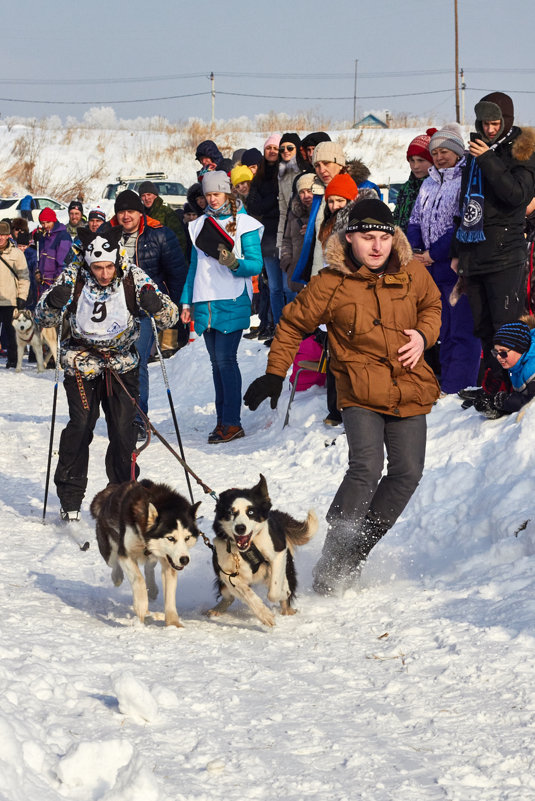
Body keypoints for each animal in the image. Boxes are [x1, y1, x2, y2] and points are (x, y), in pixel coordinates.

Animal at [91, 478, 202, 628]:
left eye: (187, 538)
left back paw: (152, 588)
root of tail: (108, 493)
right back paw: (117, 576)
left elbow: (170, 594)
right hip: (109, 548)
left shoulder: (169, 562)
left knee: (150, 567)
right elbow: (138, 579)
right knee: (114, 563)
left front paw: (173, 623)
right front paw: (141, 607)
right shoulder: (125, 554)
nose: (184, 559)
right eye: (170, 538)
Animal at [208, 476, 318, 624]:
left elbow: (274, 592)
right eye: (230, 512)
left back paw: (287, 608)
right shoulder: (226, 572)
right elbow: (246, 593)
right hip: (225, 584)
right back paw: (217, 609)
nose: (240, 528)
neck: (247, 548)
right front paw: (264, 615)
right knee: (228, 595)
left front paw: (283, 591)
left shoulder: (278, 554)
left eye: (251, 512)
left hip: (286, 565)